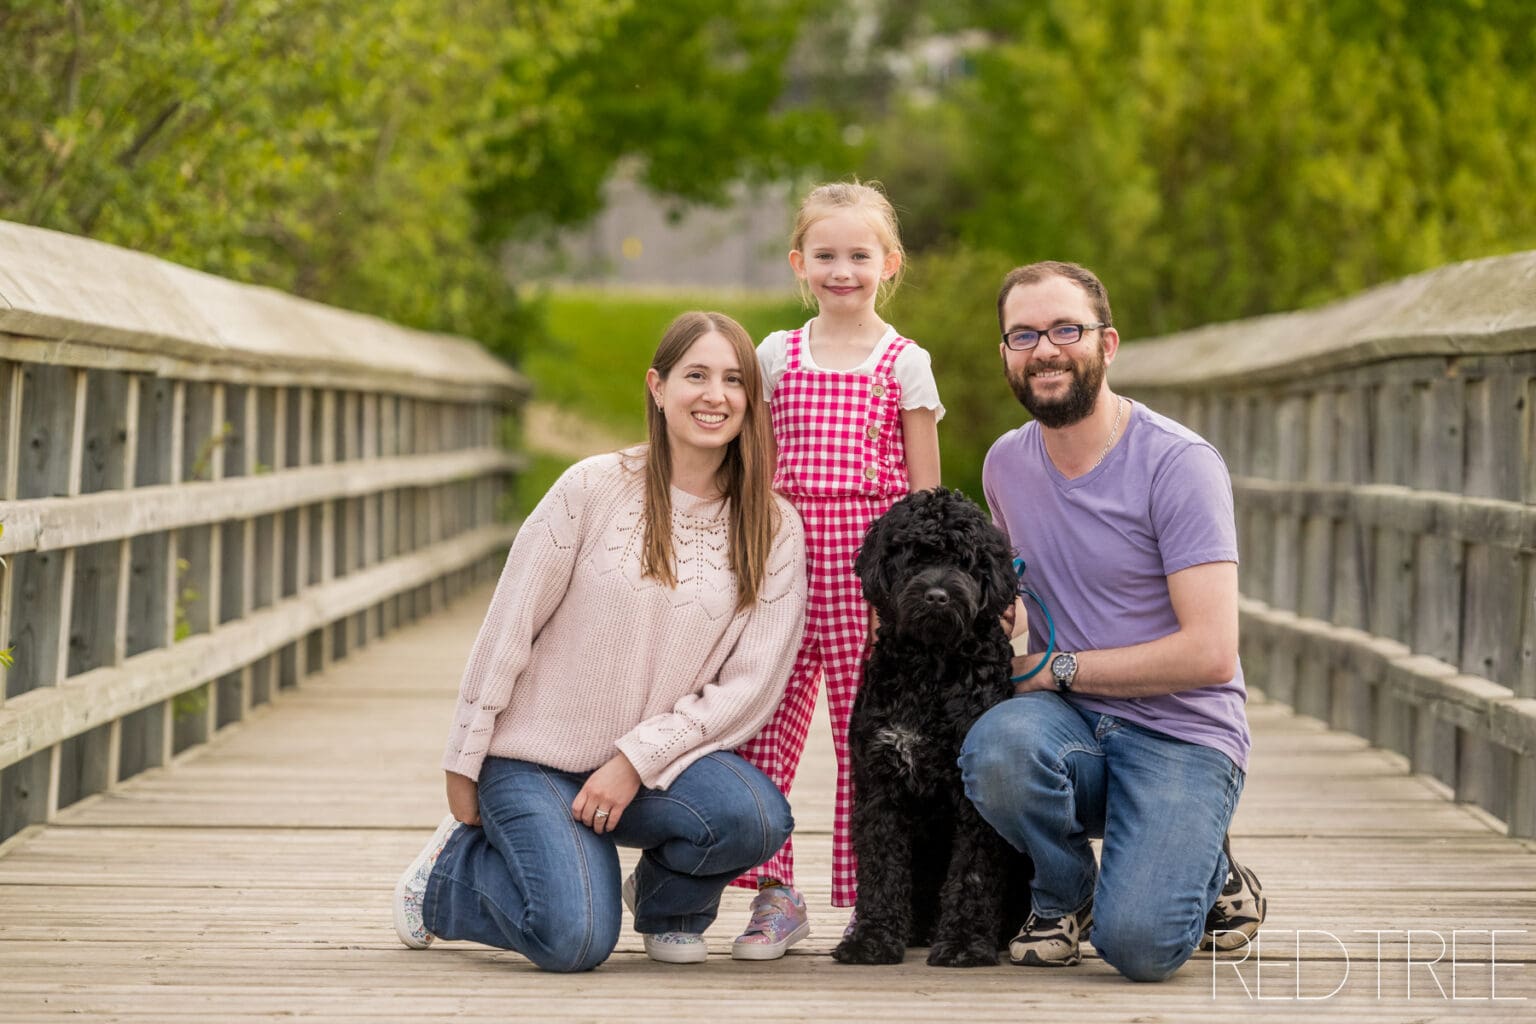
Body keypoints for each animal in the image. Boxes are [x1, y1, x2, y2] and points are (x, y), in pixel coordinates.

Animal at [829, 488, 1032, 970]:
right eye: (914, 556)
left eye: (964, 560)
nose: (938, 596)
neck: (932, 669)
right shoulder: (881, 783)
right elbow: (882, 868)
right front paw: (872, 939)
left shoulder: (971, 796)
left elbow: (972, 873)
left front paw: (963, 944)